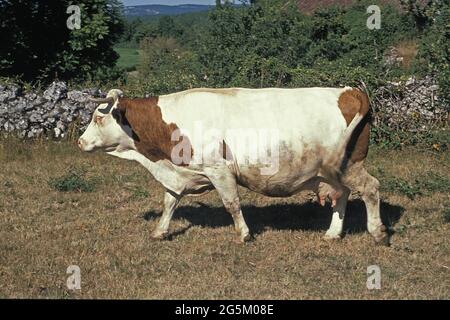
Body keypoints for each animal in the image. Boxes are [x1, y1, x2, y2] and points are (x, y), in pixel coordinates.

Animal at [77, 87, 386, 245]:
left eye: (98, 118)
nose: (80, 141)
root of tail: (350, 91)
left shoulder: (219, 169)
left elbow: (231, 203)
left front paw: (244, 234)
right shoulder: (180, 174)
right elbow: (169, 202)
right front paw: (160, 231)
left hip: (348, 165)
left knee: (371, 188)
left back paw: (378, 233)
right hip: (335, 173)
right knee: (343, 195)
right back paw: (333, 233)